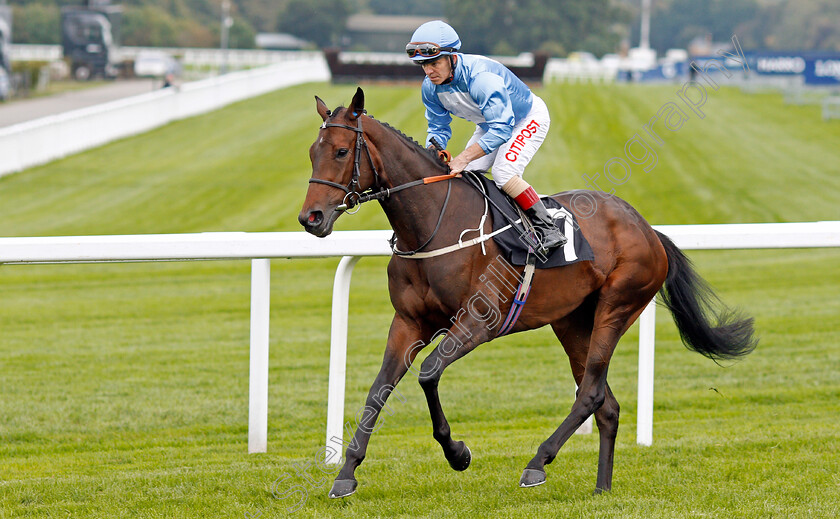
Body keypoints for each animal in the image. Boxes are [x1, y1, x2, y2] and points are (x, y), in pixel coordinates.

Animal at [298, 88, 756, 500]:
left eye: (341, 151)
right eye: (312, 152)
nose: (310, 218)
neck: (433, 224)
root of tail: (647, 228)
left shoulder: (479, 322)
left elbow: (428, 374)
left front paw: (458, 453)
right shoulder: (409, 323)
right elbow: (379, 390)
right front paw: (346, 474)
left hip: (617, 306)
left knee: (591, 393)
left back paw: (538, 462)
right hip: (571, 322)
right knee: (606, 405)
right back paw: (602, 488)